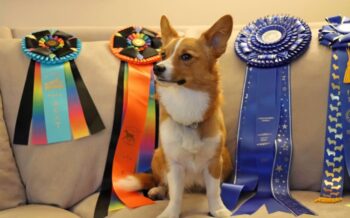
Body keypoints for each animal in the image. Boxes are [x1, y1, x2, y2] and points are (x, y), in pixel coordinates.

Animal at [117, 14, 235, 217]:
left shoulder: (214, 162)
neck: (186, 99)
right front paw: (171, 213)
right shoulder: (174, 164)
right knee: (162, 183)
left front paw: (218, 210)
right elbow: (175, 195)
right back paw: (157, 190)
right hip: (158, 154)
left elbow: (213, 192)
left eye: (186, 56)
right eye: (163, 54)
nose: (157, 68)